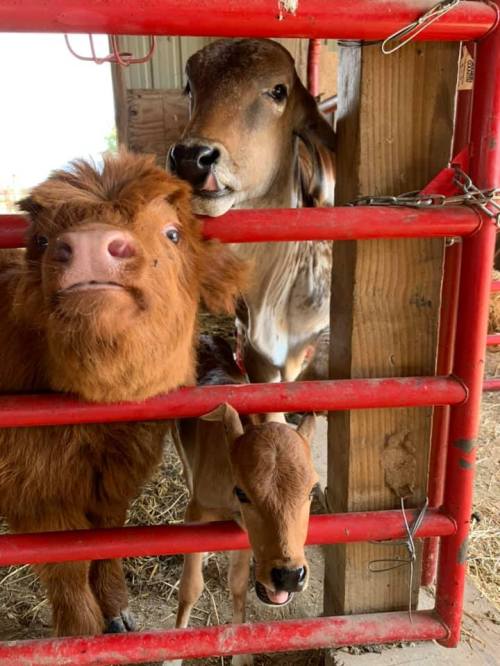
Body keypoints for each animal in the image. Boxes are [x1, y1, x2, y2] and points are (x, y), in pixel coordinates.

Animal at [0, 150, 246, 637]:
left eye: (172, 233)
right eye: (41, 239)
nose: (92, 245)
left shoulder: (119, 474)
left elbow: (108, 538)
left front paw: (116, 610)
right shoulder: (33, 489)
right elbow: (67, 566)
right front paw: (82, 633)